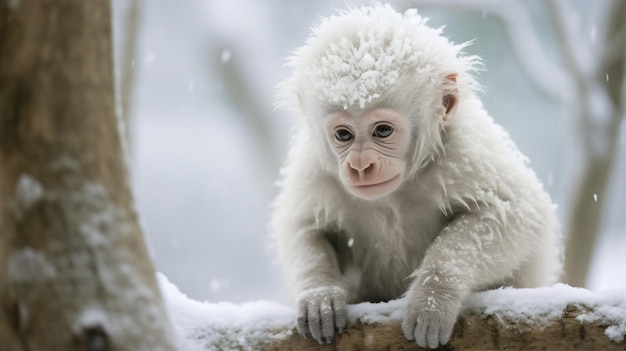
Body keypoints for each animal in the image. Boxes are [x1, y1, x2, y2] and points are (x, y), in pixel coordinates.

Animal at [270, 4, 560, 350]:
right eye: (343, 134)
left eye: (382, 130)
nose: (359, 165)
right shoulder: (316, 166)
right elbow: (304, 226)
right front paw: (319, 295)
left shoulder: (463, 150)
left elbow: (517, 213)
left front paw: (432, 296)